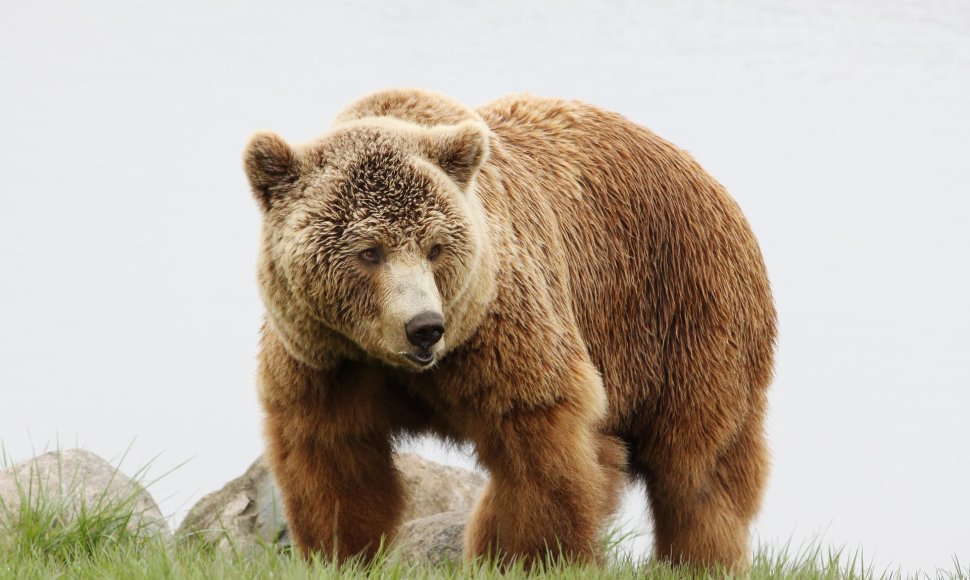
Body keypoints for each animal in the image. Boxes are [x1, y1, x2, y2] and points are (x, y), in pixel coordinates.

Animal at [242, 90, 772, 572]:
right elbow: (334, 460)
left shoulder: (500, 333)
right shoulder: (326, 359)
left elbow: (539, 450)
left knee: (698, 468)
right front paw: (341, 552)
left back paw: (700, 558)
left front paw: (530, 556)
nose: (424, 328)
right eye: (370, 251)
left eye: (435, 248)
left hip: (687, 316)